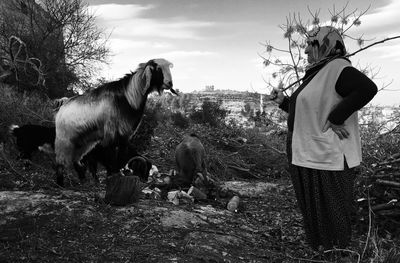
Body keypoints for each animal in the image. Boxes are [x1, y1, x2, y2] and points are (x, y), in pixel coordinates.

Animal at [54, 58, 175, 187]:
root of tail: (64, 103)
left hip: (84, 141)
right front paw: (112, 174)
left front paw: (117, 174)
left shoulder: (125, 134)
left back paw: (83, 179)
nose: (170, 83)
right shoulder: (111, 133)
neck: (128, 97)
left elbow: (121, 155)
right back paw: (60, 183)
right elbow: (111, 155)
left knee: (76, 159)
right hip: (64, 139)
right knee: (60, 160)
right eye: (158, 69)